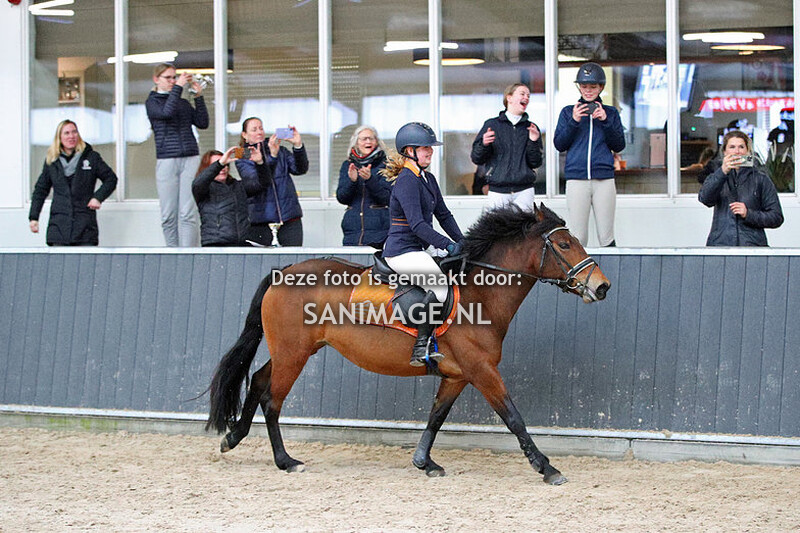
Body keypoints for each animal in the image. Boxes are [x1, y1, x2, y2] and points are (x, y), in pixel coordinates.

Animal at [206, 203, 610, 485]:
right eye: (564, 244)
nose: (602, 286)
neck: (479, 295)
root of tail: (284, 272)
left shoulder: (458, 375)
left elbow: (436, 417)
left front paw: (424, 463)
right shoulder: (482, 371)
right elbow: (513, 418)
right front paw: (547, 468)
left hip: (292, 351)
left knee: (258, 381)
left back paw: (233, 438)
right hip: (293, 355)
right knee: (272, 400)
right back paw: (286, 461)